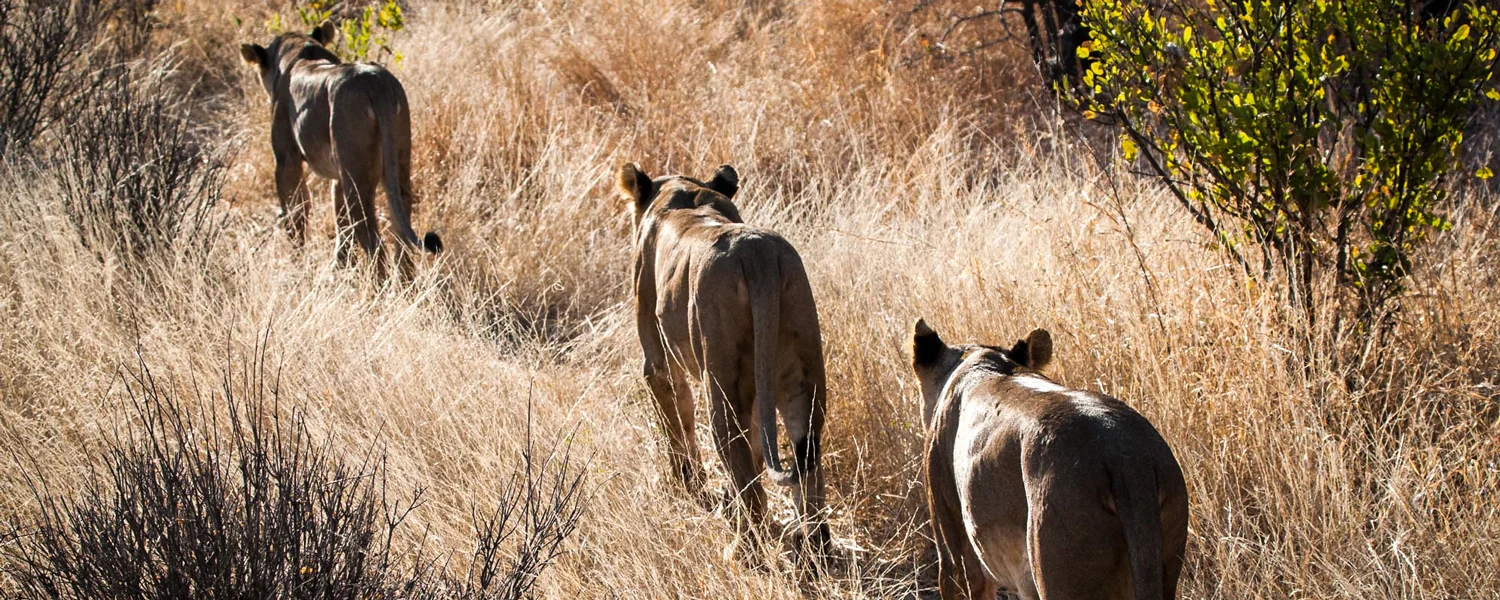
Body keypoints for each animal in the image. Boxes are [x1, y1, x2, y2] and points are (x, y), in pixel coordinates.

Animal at [240, 22, 441, 280]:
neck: (298, 52)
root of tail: (374, 83)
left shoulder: (286, 161)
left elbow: (296, 212)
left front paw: (297, 261)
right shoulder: (338, 173)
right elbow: (340, 220)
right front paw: (340, 265)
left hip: (356, 171)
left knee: (372, 236)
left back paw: (379, 286)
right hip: (396, 155)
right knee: (400, 225)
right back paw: (407, 283)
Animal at [616, 162, 830, 556]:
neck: (681, 191)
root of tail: (758, 254)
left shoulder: (657, 361)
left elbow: (678, 423)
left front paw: (687, 487)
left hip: (720, 375)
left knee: (745, 471)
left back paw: (743, 552)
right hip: (800, 370)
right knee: (806, 460)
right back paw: (814, 551)